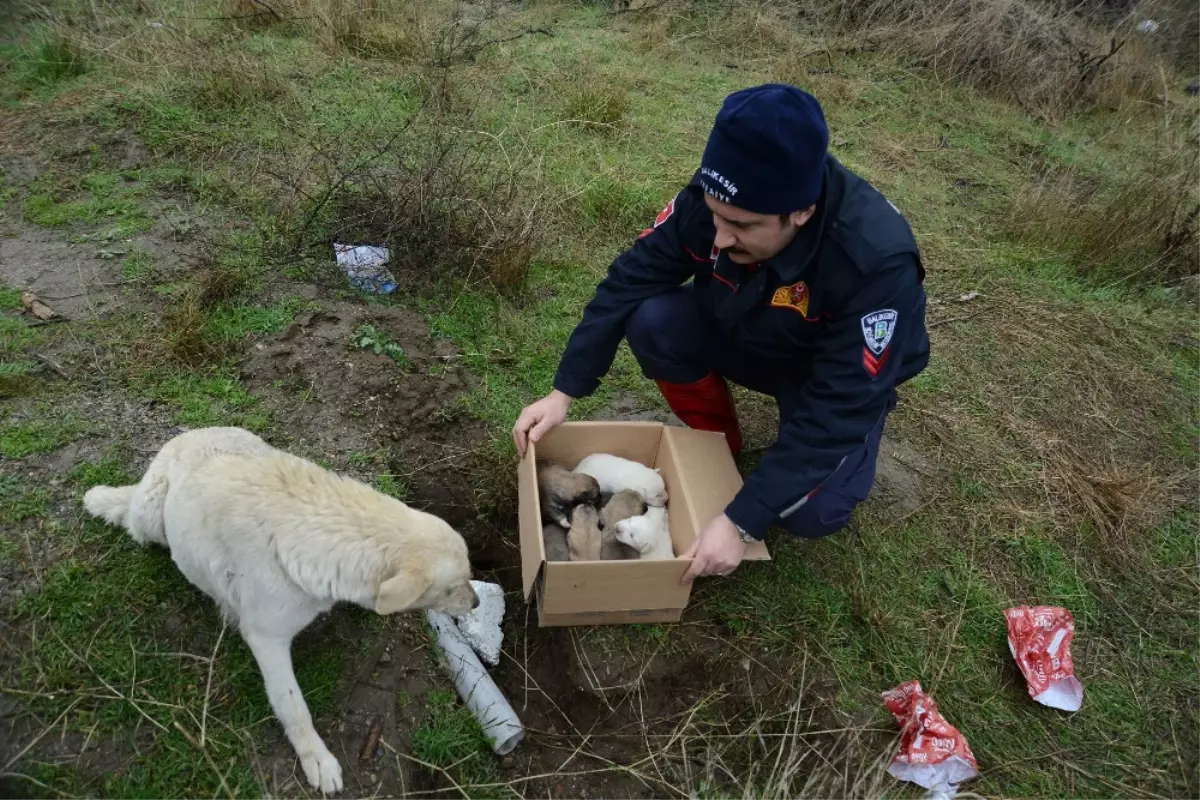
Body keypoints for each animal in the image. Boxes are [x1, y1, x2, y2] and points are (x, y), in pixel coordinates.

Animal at [82, 424, 475, 796]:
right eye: (451, 588)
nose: (476, 602)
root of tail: (187, 436)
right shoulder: (266, 639)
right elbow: (294, 707)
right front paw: (316, 758)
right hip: (151, 515)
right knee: (134, 521)